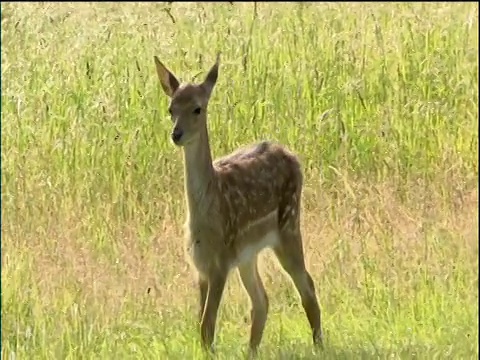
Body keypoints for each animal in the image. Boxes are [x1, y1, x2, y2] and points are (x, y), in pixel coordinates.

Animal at [156, 53, 324, 354]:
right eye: (170, 108)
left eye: (197, 109)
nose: (176, 134)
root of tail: (291, 155)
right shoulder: (199, 265)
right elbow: (201, 327)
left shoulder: (220, 262)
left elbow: (207, 326)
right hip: (248, 253)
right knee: (261, 301)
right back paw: (252, 351)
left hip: (289, 225)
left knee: (307, 285)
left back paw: (318, 346)